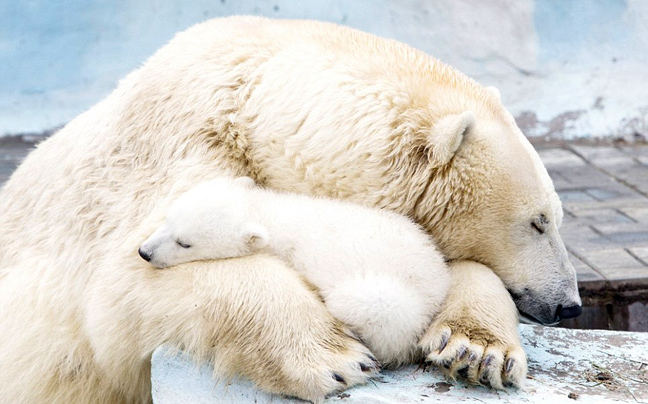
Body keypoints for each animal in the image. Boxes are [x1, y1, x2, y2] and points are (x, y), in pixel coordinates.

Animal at [0, 15, 576, 404]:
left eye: (555, 217)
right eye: (537, 221)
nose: (569, 304)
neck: (250, 99)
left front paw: (477, 350)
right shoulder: (168, 154)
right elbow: (122, 285)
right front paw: (335, 359)